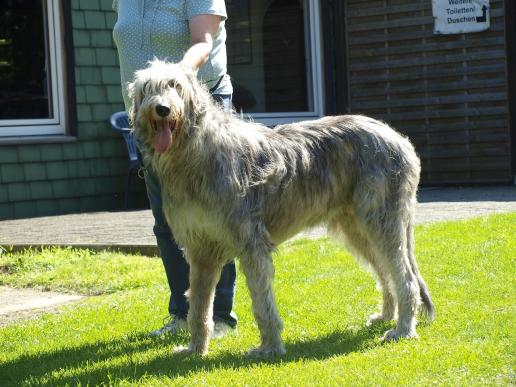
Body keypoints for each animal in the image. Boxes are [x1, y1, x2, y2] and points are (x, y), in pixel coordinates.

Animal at [130, 59, 436, 360]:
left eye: (175, 85)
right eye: (147, 88)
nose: (162, 109)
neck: (195, 153)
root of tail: (398, 139)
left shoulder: (252, 244)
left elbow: (262, 303)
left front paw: (269, 348)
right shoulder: (200, 251)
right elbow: (199, 305)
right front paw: (195, 348)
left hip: (382, 221)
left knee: (405, 278)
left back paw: (403, 328)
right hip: (358, 228)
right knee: (384, 271)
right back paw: (387, 316)